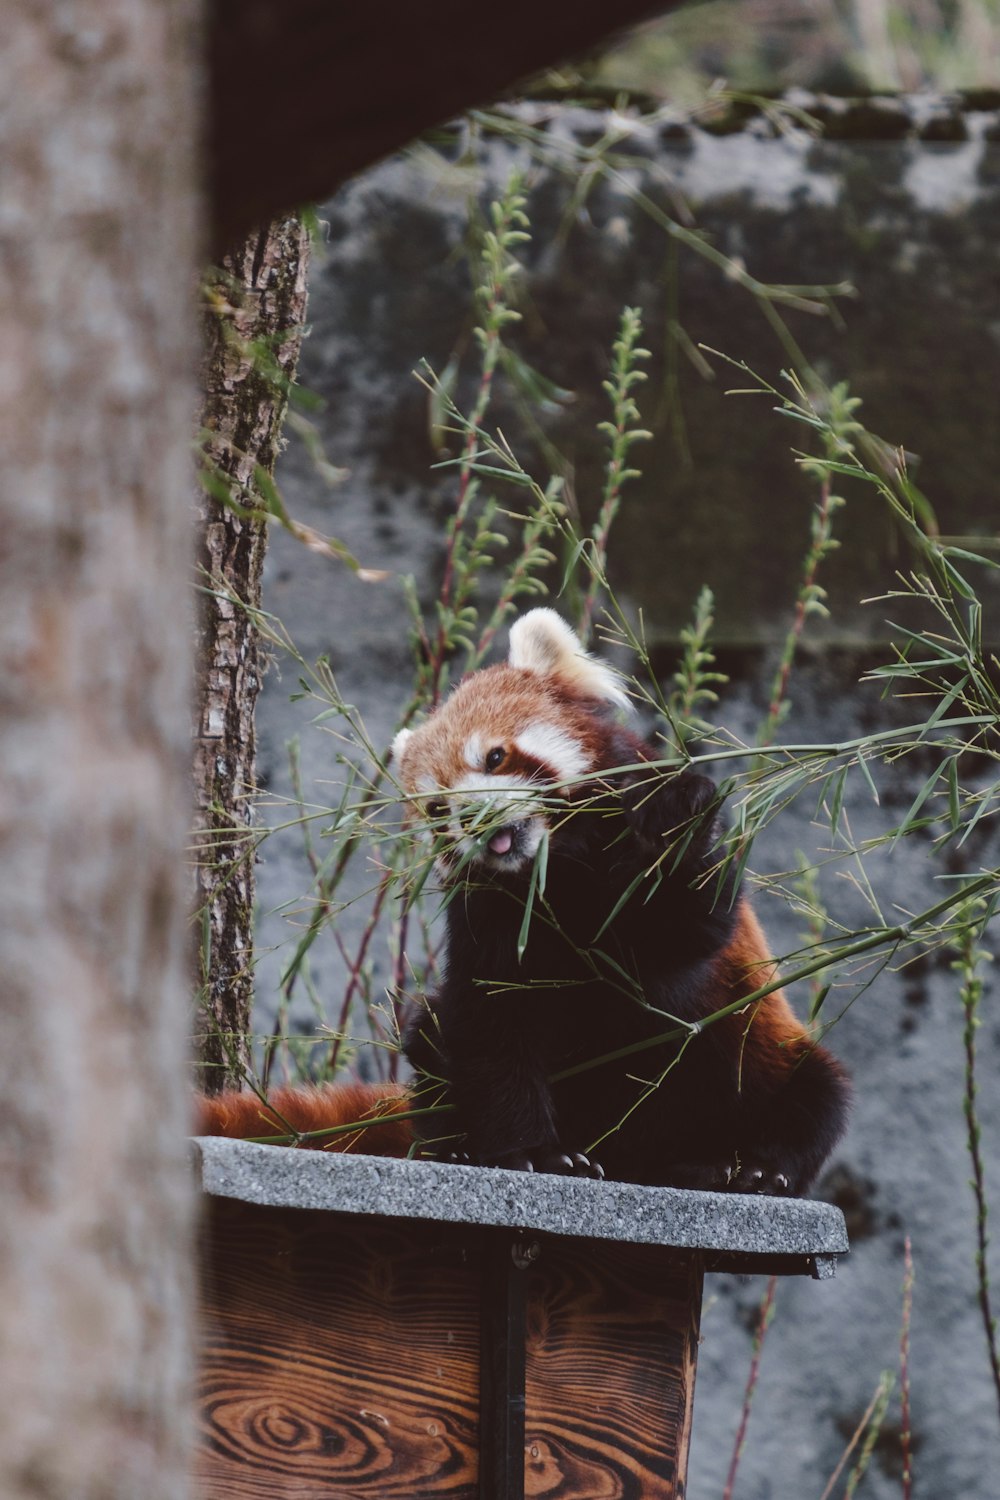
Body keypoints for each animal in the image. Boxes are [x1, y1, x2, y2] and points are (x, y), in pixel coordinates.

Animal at [197, 603, 851, 1200]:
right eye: (437, 808)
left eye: (495, 756)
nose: (471, 817)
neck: (556, 872)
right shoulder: (489, 925)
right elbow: (495, 1032)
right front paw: (536, 1154)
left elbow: (689, 927)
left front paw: (677, 812)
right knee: (433, 1034)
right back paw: (460, 1146)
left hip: (758, 1051)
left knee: (815, 1092)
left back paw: (744, 1167)